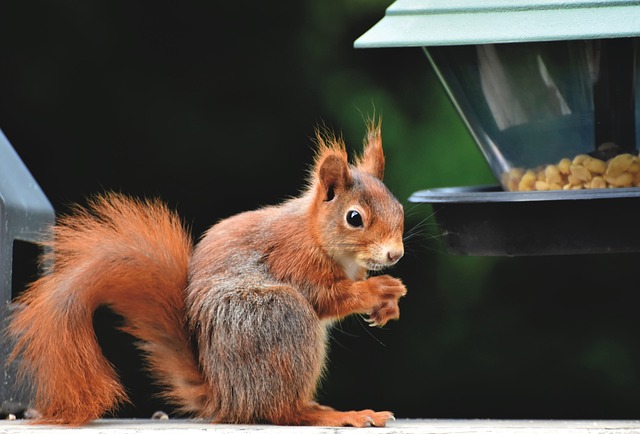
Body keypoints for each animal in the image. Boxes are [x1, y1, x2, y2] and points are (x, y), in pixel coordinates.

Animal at [6, 120, 407, 427]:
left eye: (399, 208)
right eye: (354, 218)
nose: (395, 254)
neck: (317, 235)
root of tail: (226, 399)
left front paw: (387, 307)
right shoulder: (294, 260)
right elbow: (327, 297)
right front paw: (380, 289)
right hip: (280, 316)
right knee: (283, 411)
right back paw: (334, 414)